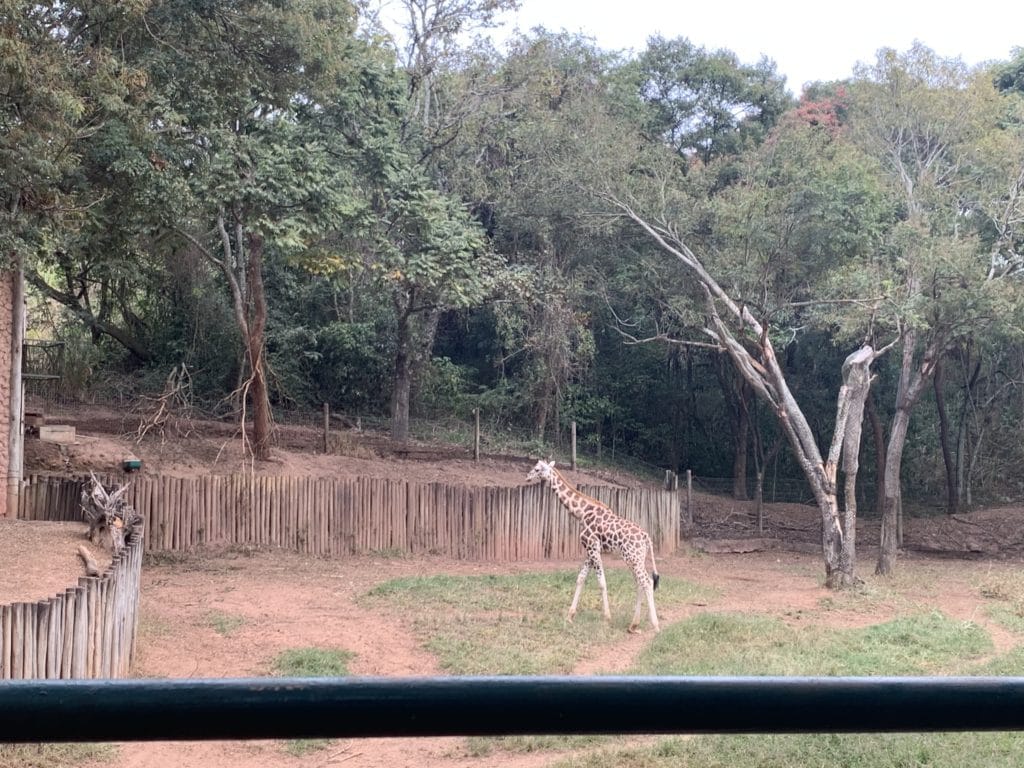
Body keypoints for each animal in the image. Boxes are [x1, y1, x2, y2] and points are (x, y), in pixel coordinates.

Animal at [526, 459, 660, 633]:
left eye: (537, 469)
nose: (527, 477)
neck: (582, 512)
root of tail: (646, 537)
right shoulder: (590, 551)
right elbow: (580, 578)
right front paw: (570, 616)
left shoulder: (592, 547)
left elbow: (601, 582)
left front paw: (607, 618)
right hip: (636, 559)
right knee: (640, 583)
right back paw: (633, 625)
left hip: (632, 558)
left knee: (647, 582)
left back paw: (655, 625)